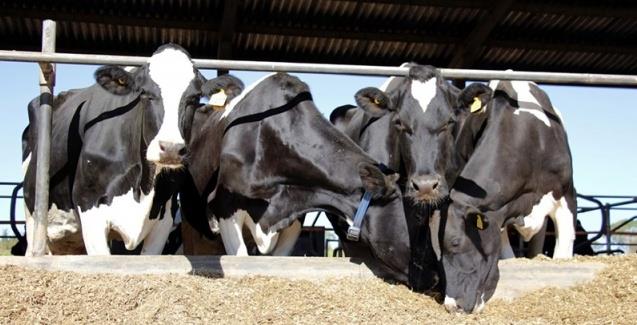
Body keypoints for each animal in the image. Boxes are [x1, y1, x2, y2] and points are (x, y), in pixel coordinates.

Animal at [21, 43, 214, 256]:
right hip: (33, 217)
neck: (143, 186)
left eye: (194, 98)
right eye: (145, 93)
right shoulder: (89, 207)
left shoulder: (164, 219)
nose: (171, 148)